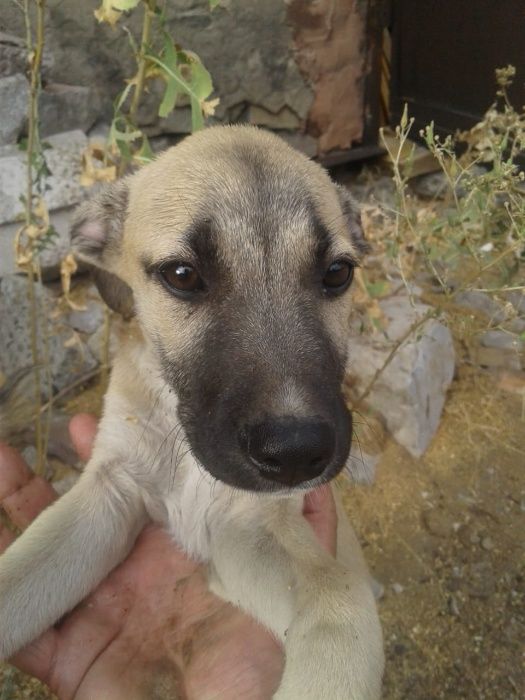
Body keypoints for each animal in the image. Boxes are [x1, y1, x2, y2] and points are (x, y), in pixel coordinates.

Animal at [0, 127, 384, 700]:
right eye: (182, 275)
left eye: (337, 273)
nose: (297, 453)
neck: (183, 454)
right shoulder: (110, 489)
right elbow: (14, 582)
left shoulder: (247, 525)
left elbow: (340, 603)